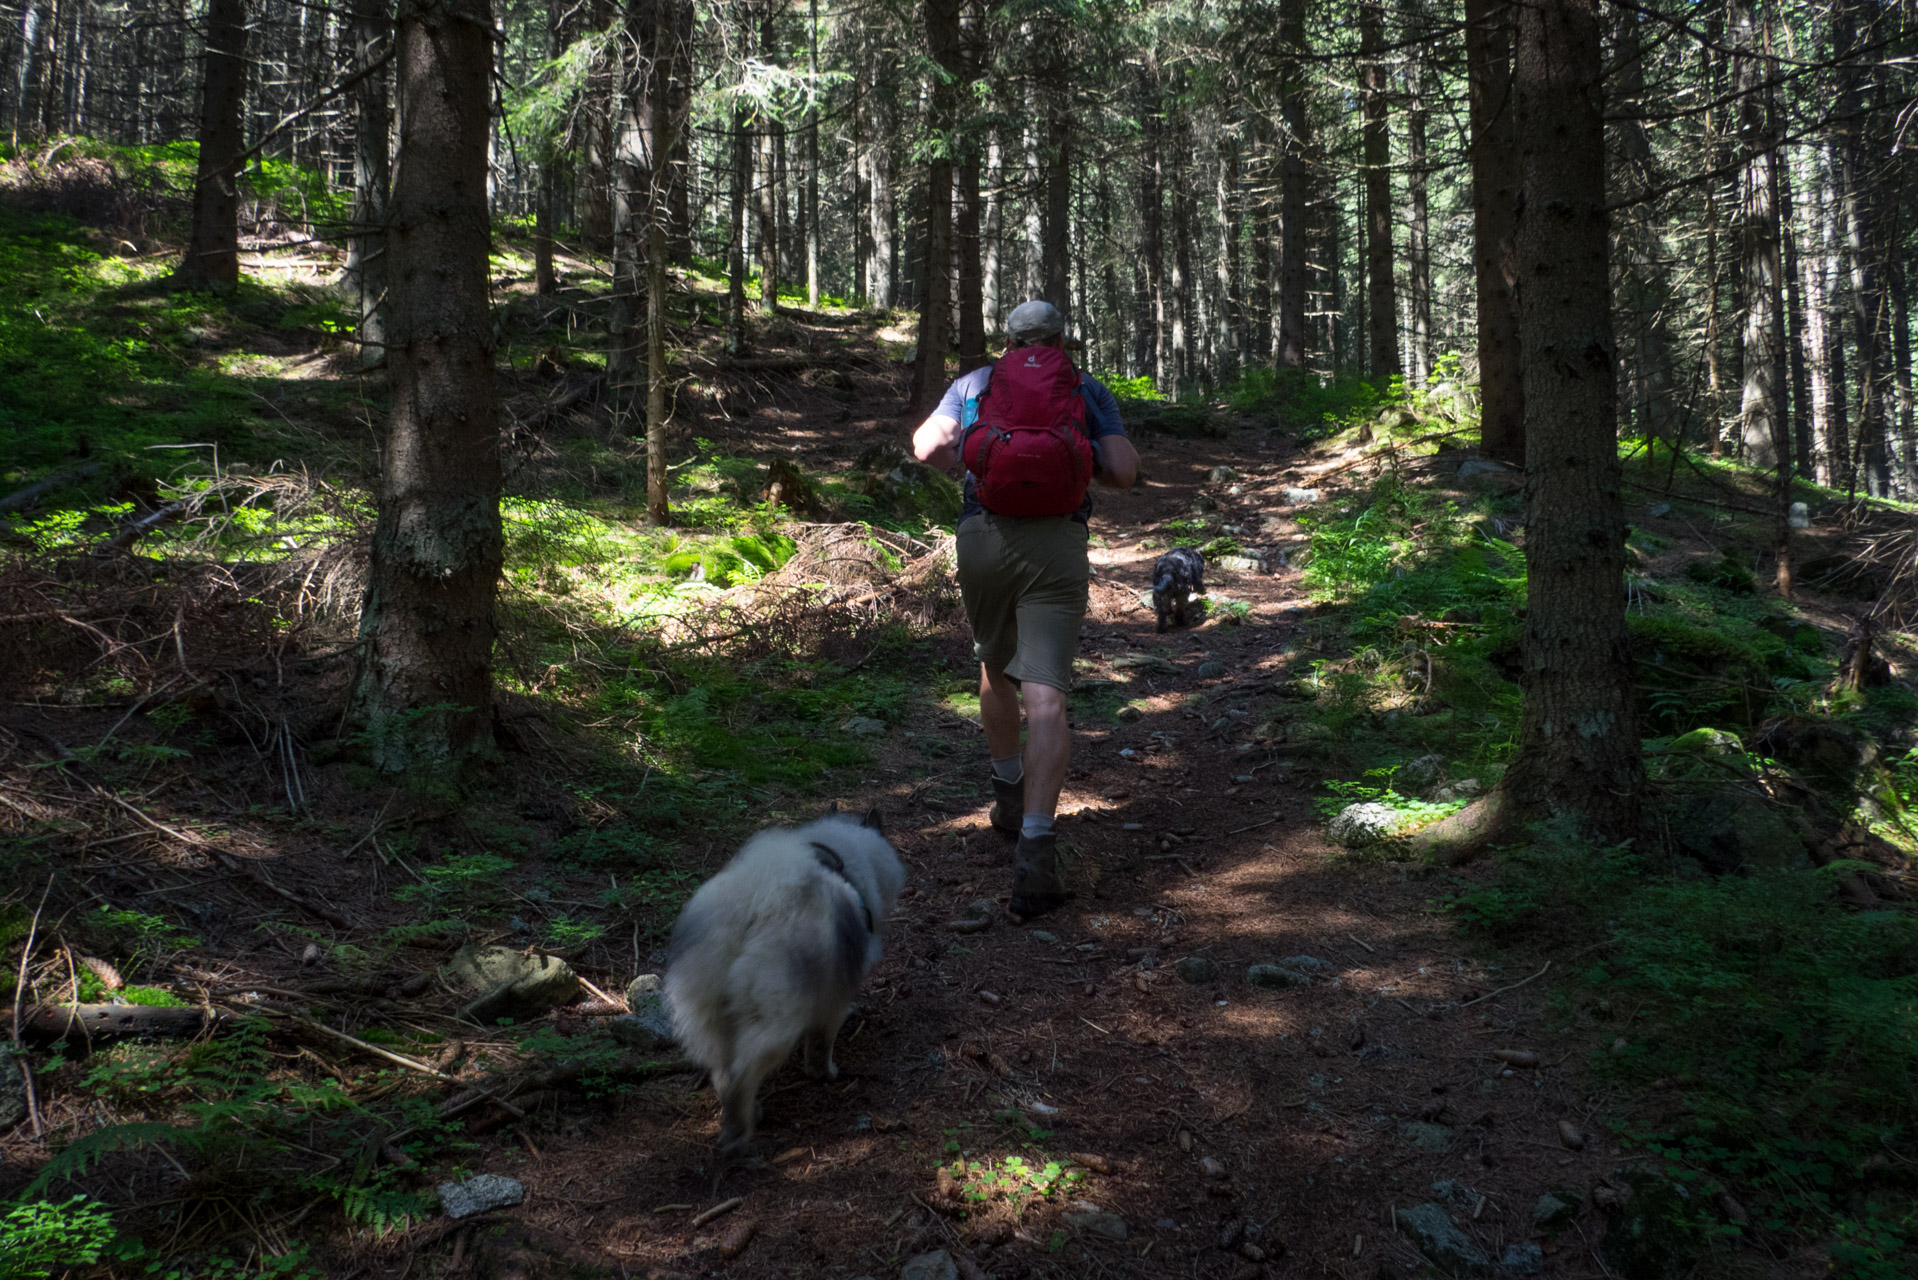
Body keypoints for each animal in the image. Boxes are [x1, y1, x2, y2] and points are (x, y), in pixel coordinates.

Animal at [667, 805, 905, 1159]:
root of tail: (750, 911)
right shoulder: (833, 1002)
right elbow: (821, 1046)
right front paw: (825, 1074)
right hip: (777, 1021)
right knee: (741, 1074)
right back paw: (738, 1135)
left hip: (708, 1016)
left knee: (722, 1072)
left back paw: (750, 1114)